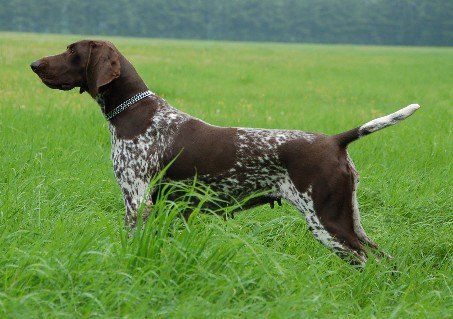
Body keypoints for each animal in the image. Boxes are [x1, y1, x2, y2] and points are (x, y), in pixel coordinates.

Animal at [30, 39, 420, 264]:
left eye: (72, 51)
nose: (34, 64)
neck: (134, 112)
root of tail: (335, 140)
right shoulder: (161, 206)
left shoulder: (136, 200)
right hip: (349, 220)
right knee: (384, 259)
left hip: (327, 222)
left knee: (369, 262)